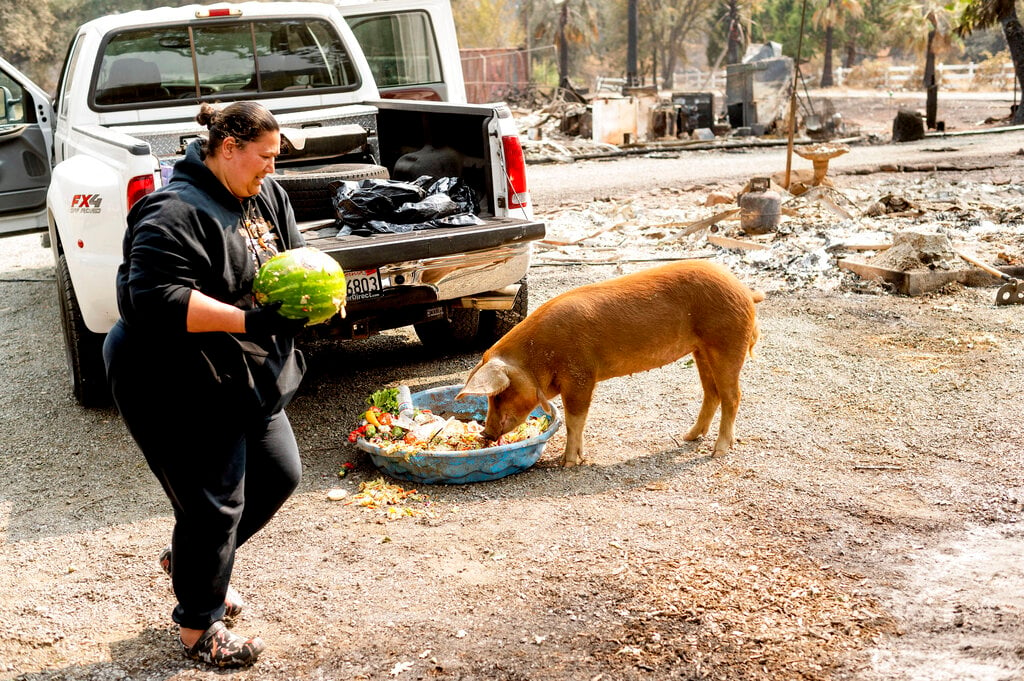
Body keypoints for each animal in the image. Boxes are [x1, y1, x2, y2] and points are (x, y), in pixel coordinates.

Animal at [454, 258, 761, 464]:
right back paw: (689, 436)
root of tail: (744, 290)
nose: (486, 434)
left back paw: (719, 451)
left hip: (726, 342)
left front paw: (568, 463)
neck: (538, 356)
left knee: (733, 395)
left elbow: (574, 419)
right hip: (701, 350)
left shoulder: (580, 375)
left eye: (499, 394)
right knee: (712, 393)